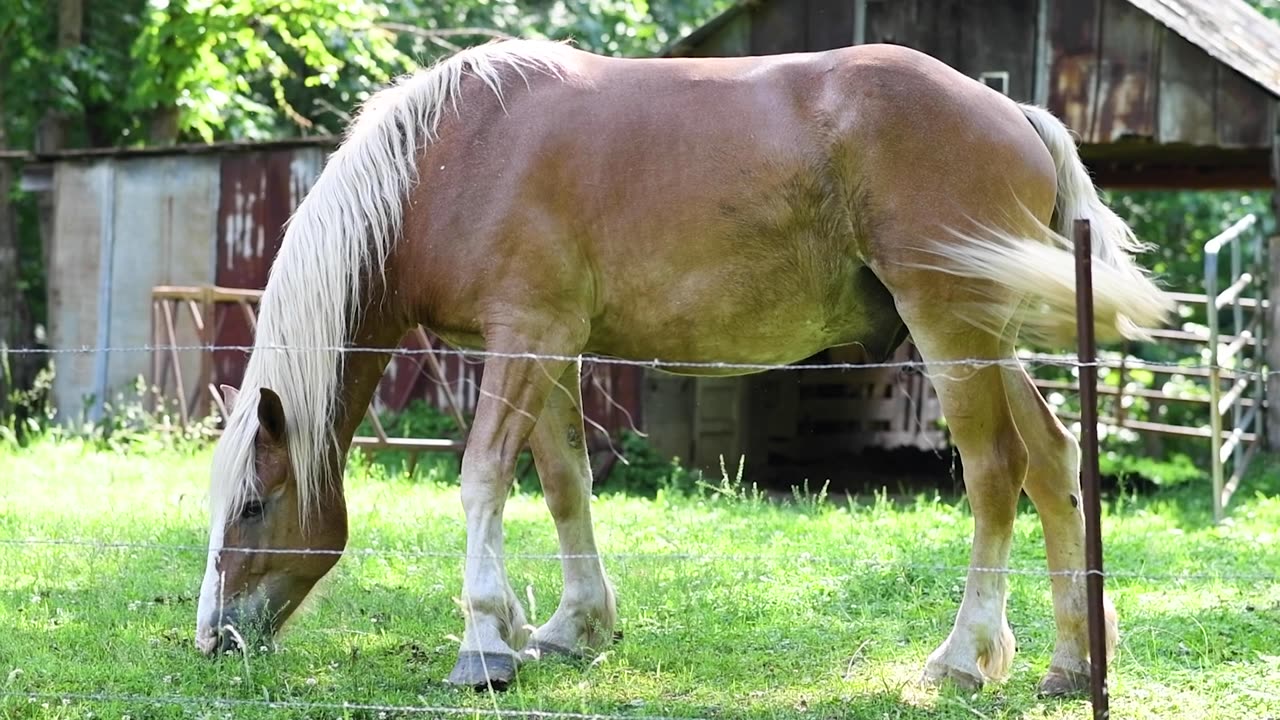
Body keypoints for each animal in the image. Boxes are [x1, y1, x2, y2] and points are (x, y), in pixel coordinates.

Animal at [192, 40, 1172, 696]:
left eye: (252, 507)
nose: (213, 640)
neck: (449, 161)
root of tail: (1015, 114)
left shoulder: (524, 338)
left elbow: (482, 479)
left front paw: (485, 643)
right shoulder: (548, 348)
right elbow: (564, 483)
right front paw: (569, 626)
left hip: (951, 327)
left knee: (996, 471)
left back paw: (964, 659)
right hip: (988, 336)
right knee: (1054, 463)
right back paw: (1073, 663)